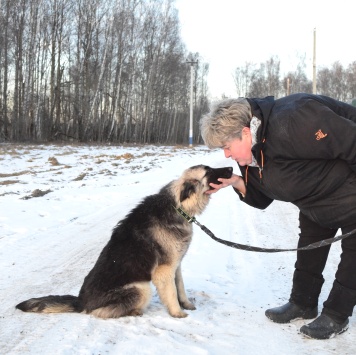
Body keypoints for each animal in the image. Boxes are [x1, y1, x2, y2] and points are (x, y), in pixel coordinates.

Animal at [16, 166, 234, 320]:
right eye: (209, 171)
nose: (232, 169)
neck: (177, 206)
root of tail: (81, 301)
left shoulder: (176, 265)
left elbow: (180, 287)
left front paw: (186, 304)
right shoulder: (164, 270)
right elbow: (171, 293)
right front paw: (177, 313)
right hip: (140, 288)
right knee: (98, 313)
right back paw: (134, 312)